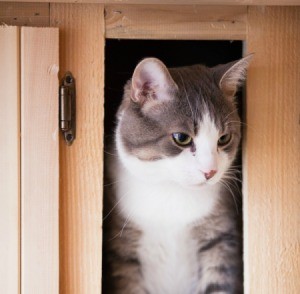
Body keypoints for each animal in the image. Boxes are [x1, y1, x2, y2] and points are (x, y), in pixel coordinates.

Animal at [102, 55, 252, 294]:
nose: (210, 171)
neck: (171, 191)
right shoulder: (123, 253)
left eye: (224, 138)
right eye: (181, 138)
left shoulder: (220, 239)